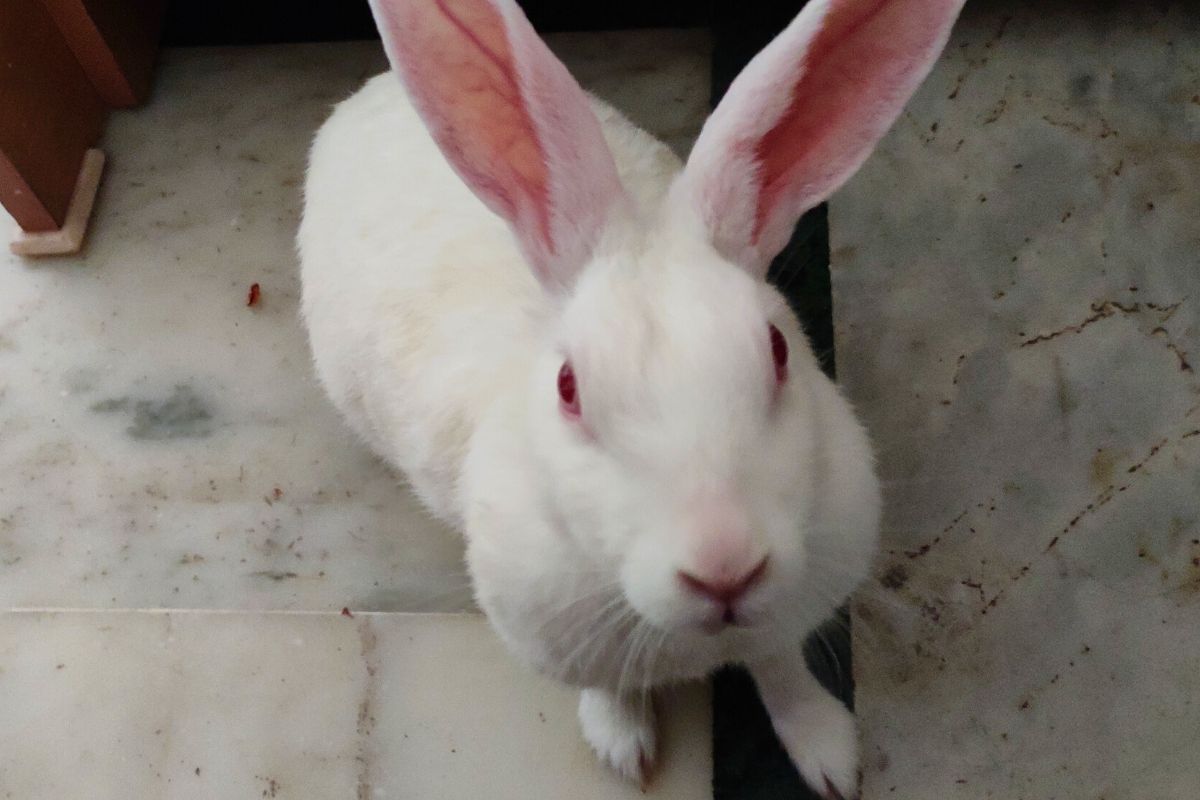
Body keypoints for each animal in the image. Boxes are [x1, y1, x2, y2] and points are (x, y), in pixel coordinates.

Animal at [299, 0, 964, 796]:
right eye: (569, 389)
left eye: (778, 351)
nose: (725, 568)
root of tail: (372, 92)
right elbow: (609, 690)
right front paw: (625, 751)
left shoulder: (789, 615)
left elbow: (782, 673)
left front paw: (832, 757)